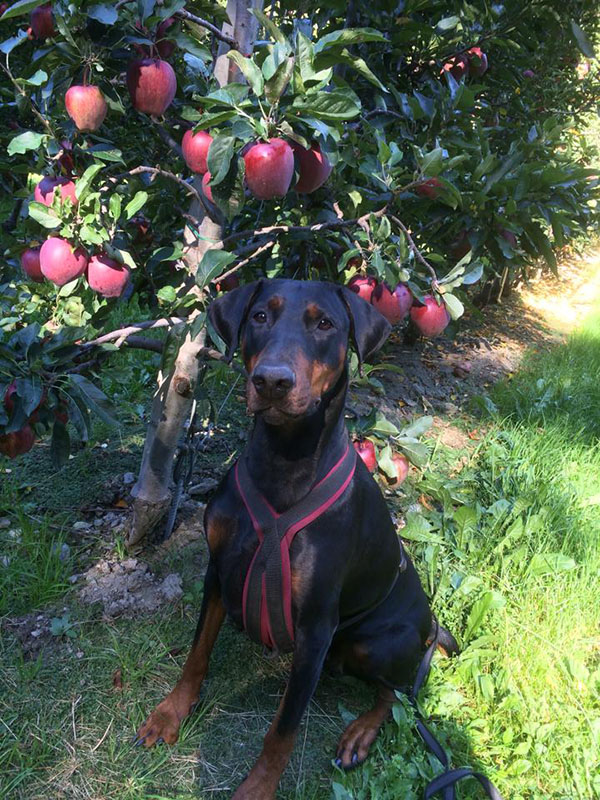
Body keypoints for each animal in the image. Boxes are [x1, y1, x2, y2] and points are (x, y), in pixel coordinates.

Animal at [135, 278, 456, 799]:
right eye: (260, 316)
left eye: (324, 323)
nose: (272, 381)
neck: (283, 460)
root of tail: (430, 625)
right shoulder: (219, 570)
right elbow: (196, 653)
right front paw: (170, 713)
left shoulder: (316, 623)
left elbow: (283, 729)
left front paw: (257, 788)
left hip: (378, 642)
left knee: (398, 694)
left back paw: (360, 733)